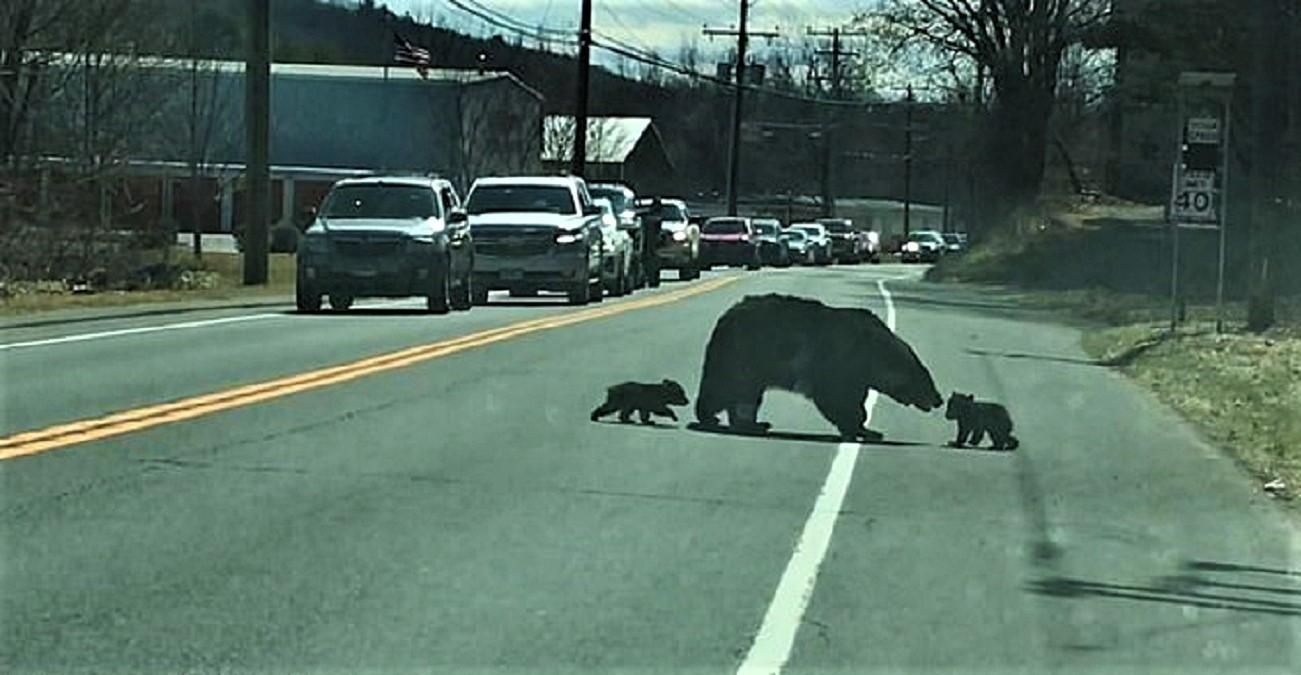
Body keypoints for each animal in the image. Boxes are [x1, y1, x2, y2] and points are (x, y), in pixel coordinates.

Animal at [697, 293, 941, 442]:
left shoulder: (858, 375)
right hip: (744, 354)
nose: (939, 399)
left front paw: (865, 428)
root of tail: (724, 317)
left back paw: (753, 424)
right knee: (724, 387)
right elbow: (835, 397)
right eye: (925, 380)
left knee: (745, 395)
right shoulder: (839, 360)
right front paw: (857, 426)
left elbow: (854, 397)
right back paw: (710, 417)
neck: (874, 353)